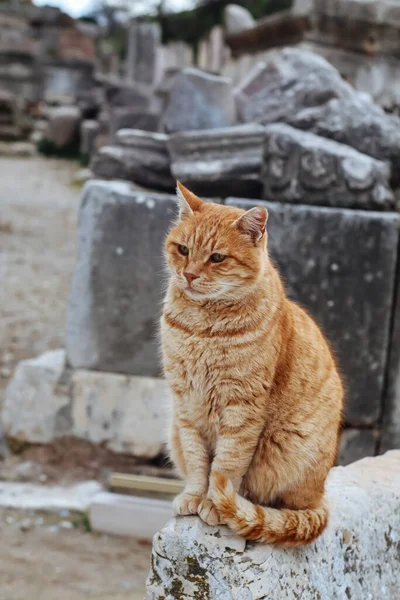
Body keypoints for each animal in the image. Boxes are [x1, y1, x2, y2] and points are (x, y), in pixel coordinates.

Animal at [161, 180, 342, 548]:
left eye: (217, 257)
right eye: (183, 249)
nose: (188, 275)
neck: (201, 327)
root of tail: (320, 497)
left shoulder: (242, 407)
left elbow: (227, 464)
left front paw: (215, 504)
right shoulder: (185, 405)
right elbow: (198, 461)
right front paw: (195, 496)